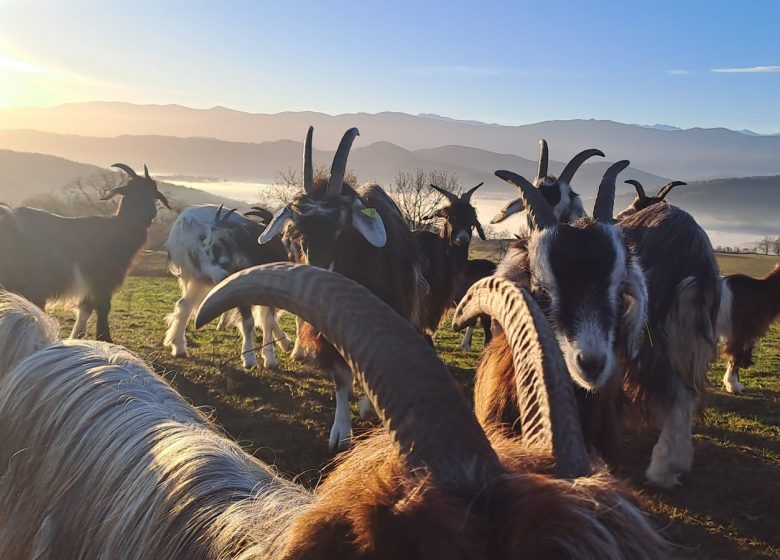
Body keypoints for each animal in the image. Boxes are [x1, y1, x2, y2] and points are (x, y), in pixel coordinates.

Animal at [0, 162, 169, 342]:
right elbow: (103, 307)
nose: (151, 214)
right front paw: (105, 339)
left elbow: (85, 309)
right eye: (133, 190)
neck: (116, 228)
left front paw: (78, 338)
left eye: (153, 192)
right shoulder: (102, 280)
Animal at [165, 203, 292, 370]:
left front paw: (270, 358)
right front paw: (249, 359)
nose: (225, 274)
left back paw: (179, 348)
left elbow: (268, 322)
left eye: (223, 243)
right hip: (199, 277)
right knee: (186, 305)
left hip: (199, 279)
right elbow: (249, 323)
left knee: (183, 305)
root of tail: (185, 221)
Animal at [251, 126, 424, 450]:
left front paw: (369, 406)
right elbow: (341, 378)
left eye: (340, 231)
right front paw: (341, 431)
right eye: (298, 235)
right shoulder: (326, 332)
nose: (313, 284)